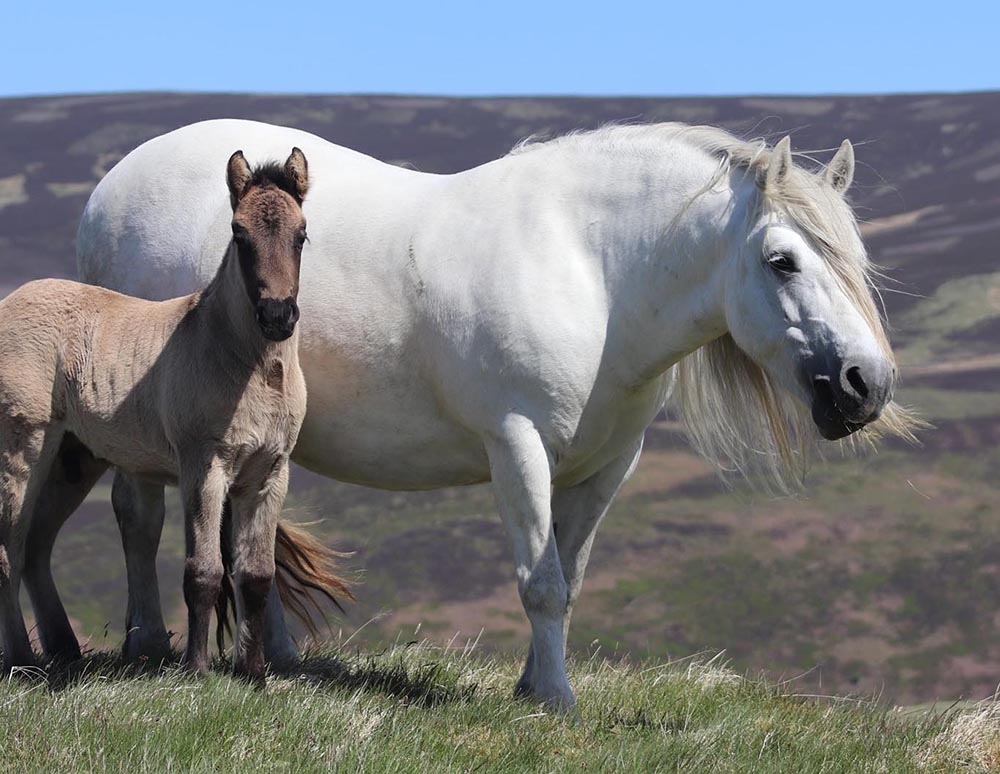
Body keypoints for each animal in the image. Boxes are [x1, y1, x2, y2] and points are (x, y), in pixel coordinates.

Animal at [0, 149, 312, 684]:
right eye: (239, 233)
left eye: (302, 234)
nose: (276, 316)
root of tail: (11, 301)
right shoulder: (204, 465)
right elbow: (203, 571)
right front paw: (197, 671)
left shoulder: (271, 473)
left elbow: (255, 575)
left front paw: (254, 673)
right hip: (24, 450)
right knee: (11, 551)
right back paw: (21, 661)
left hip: (72, 458)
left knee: (36, 544)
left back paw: (63, 651)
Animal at [68, 119, 916, 708]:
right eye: (782, 261)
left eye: (854, 258)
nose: (864, 383)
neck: (590, 268)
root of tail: (110, 189)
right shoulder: (517, 446)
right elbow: (538, 581)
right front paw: (558, 702)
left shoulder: (607, 466)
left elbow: (568, 578)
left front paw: (534, 686)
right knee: (139, 515)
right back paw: (148, 643)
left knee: (252, 540)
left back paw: (275, 657)